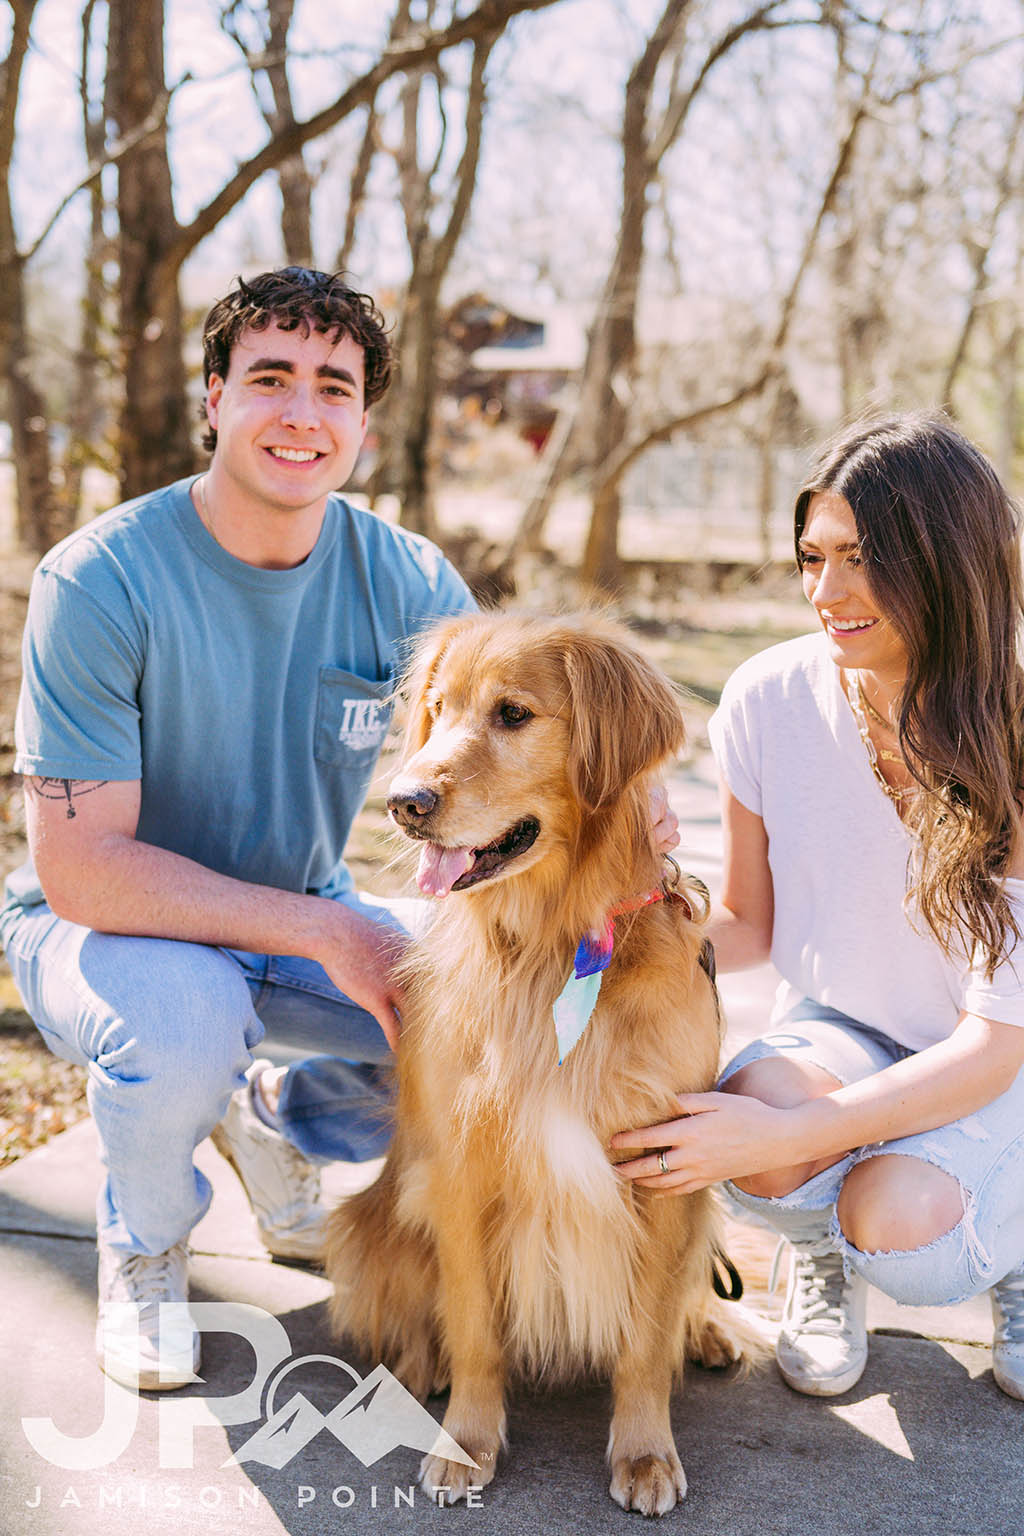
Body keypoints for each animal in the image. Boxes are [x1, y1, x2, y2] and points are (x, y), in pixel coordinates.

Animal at [328, 608, 752, 1511]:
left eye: (513, 714)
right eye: (440, 710)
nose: (404, 801)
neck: (551, 947)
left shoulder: (669, 1165)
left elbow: (644, 1340)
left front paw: (644, 1453)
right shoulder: (460, 1171)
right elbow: (476, 1330)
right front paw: (467, 1442)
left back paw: (709, 1331)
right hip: (380, 1216)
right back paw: (419, 1368)